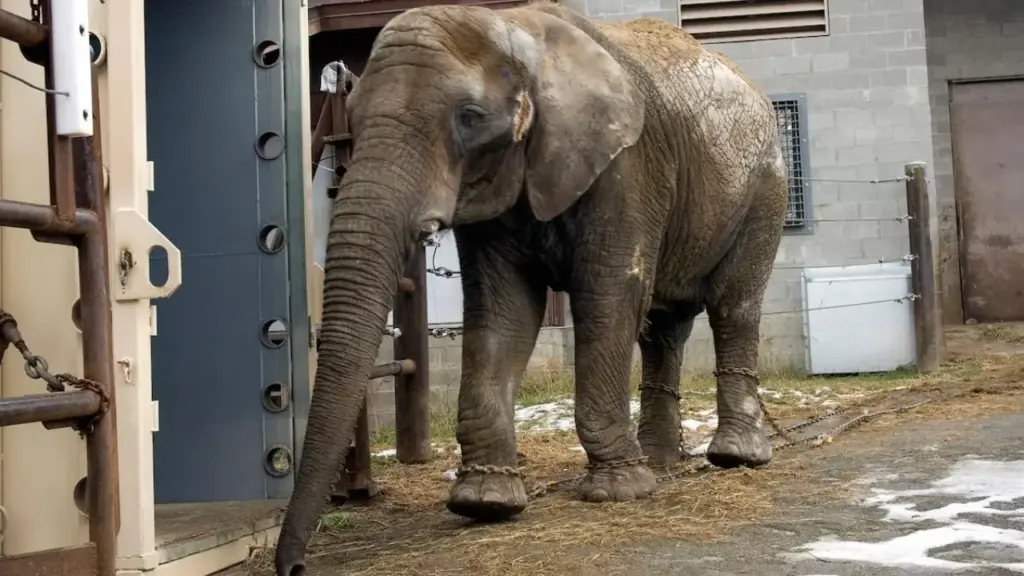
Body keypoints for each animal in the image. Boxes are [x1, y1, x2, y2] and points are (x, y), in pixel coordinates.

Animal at [275, 2, 787, 574]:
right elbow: (504, 313)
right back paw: (658, 460)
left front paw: (617, 492)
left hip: (764, 188)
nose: (294, 567)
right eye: (354, 116)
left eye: (470, 117)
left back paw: (734, 457)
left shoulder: (627, 169)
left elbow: (608, 299)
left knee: (733, 305)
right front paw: (485, 503)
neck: (516, 30)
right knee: (663, 327)